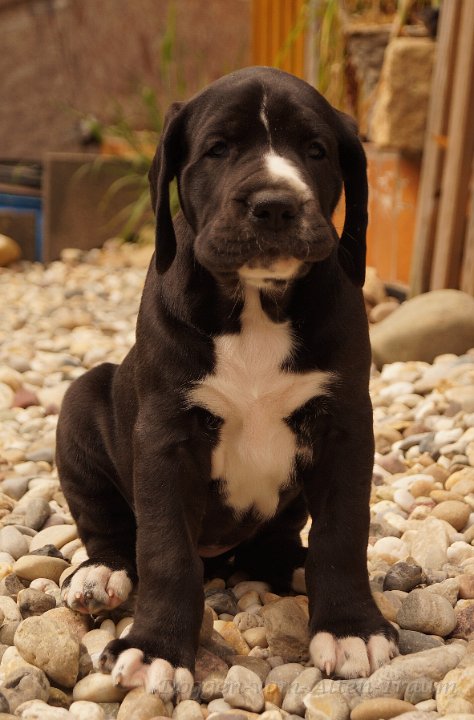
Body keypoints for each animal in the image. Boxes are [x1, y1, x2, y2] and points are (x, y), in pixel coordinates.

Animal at [56, 66, 398, 699]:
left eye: (315, 150)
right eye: (217, 149)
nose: (275, 204)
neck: (256, 302)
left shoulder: (344, 428)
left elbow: (343, 535)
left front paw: (350, 628)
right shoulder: (165, 438)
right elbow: (165, 550)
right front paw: (156, 649)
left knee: (277, 543)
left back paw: (291, 566)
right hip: (81, 402)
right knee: (109, 528)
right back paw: (101, 575)